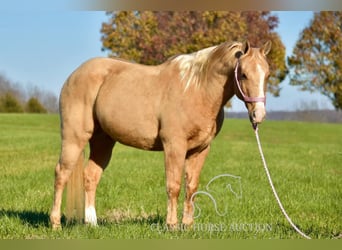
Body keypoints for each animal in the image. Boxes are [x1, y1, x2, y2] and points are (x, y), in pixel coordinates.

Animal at [49, 40, 272, 229]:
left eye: (267, 75)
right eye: (243, 74)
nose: (259, 115)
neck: (197, 89)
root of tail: (74, 75)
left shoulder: (200, 150)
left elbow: (191, 187)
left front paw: (187, 226)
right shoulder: (174, 146)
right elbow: (173, 186)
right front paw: (171, 225)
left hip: (103, 142)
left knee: (90, 176)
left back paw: (92, 223)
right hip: (74, 138)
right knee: (61, 174)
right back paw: (55, 223)